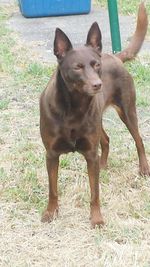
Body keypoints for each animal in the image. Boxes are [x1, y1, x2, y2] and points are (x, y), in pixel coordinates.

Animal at [40, 3, 150, 227]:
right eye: (77, 67)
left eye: (96, 65)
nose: (98, 85)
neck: (73, 108)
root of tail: (114, 55)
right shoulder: (51, 154)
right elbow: (53, 189)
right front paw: (51, 213)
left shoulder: (90, 153)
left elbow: (94, 192)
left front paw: (97, 218)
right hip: (99, 121)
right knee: (106, 140)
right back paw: (103, 165)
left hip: (127, 111)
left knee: (139, 139)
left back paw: (143, 169)